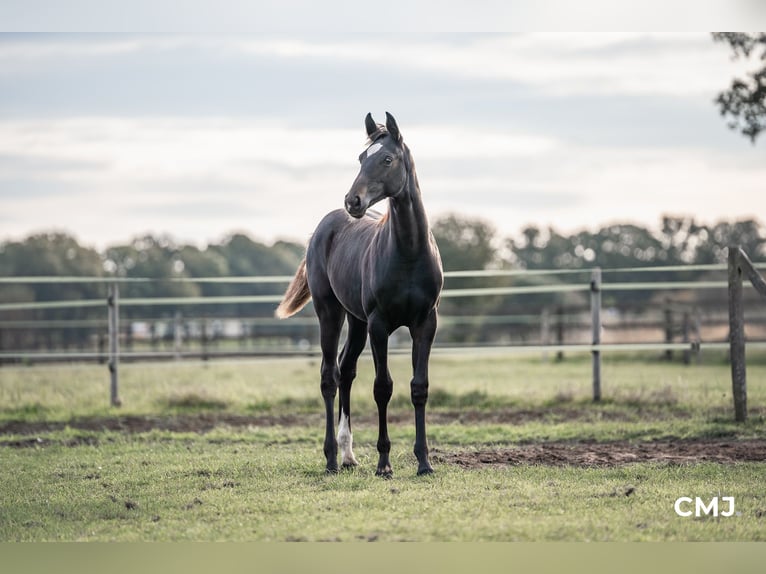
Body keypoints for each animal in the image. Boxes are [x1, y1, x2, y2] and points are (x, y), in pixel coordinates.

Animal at [276, 111, 444, 476]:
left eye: (387, 159)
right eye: (360, 157)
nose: (353, 200)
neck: (408, 252)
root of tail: (323, 227)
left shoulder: (425, 324)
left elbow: (419, 387)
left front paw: (424, 462)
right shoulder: (380, 324)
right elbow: (383, 388)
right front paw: (384, 463)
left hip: (356, 321)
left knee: (346, 369)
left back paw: (348, 455)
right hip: (331, 312)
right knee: (329, 375)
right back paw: (331, 458)